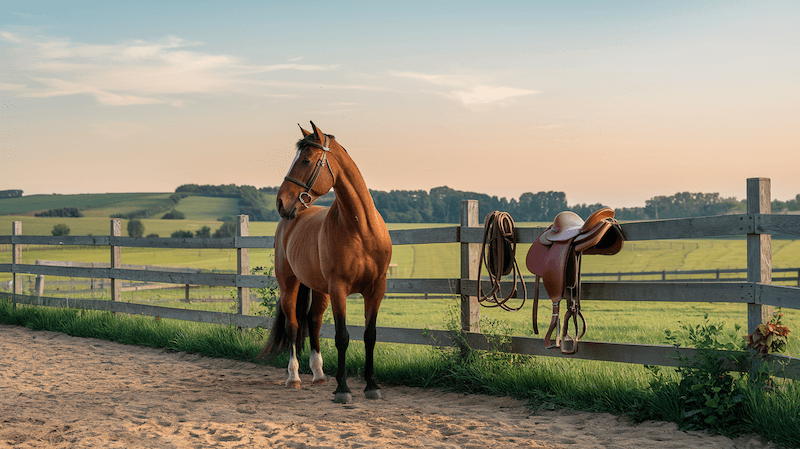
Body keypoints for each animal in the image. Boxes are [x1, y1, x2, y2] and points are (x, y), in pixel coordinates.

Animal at [258, 122, 392, 402]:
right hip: (289, 285)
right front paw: (343, 390)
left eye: (306, 160)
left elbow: (370, 335)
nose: (281, 202)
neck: (361, 229)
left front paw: (371, 386)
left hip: (319, 289)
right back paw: (294, 377)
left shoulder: (376, 288)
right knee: (294, 325)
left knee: (313, 321)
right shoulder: (339, 288)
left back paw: (319, 374)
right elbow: (342, 336)